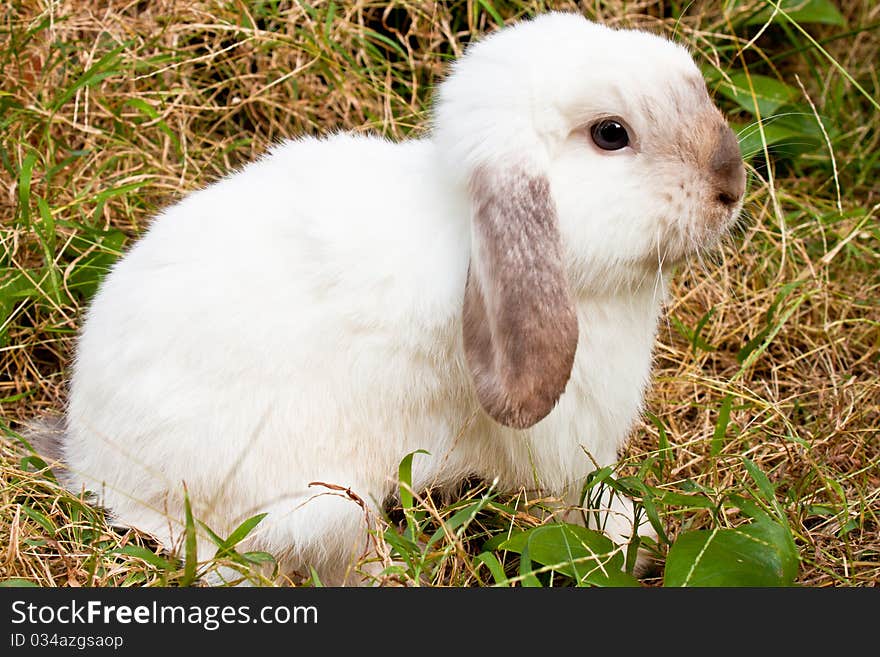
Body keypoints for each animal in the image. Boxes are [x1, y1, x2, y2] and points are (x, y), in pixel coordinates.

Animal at [31, 11, 744, 584]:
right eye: (610, 134)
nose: (730, 186)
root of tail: (92, 463)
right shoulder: (555, 444)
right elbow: (570, 503)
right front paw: (626, 546)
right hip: (317, 503)